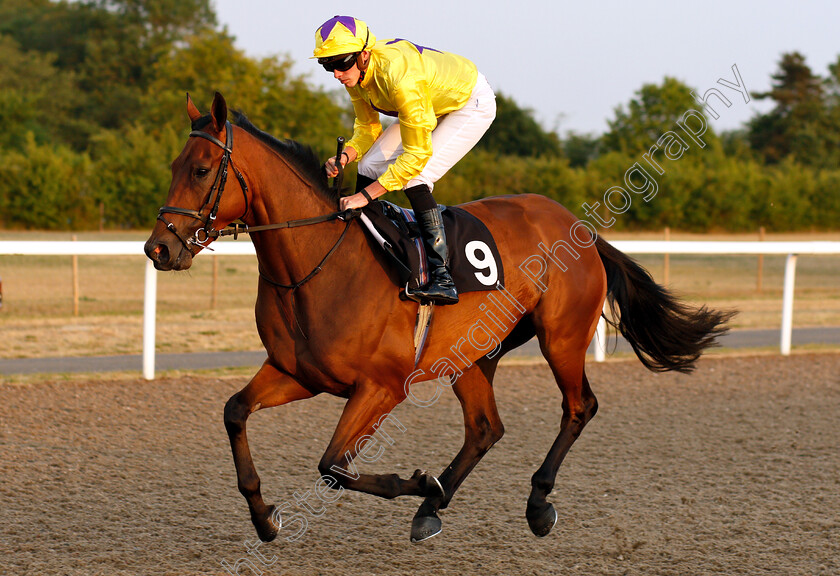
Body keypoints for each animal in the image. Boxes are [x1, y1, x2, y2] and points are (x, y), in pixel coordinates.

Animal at [146, 92, 736, 544]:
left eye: (201, 170)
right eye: (172, 167)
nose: (158, 249)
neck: (319, 264)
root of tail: (579, 227)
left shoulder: (382, 386)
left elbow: (333, 467)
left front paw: (418, 483)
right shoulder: (297, 373)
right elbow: (235, 413)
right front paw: (265, 519)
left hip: (561, 336)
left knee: (578, 407)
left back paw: (535, 504)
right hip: (473, 353)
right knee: (485, 428)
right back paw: (433, 509)